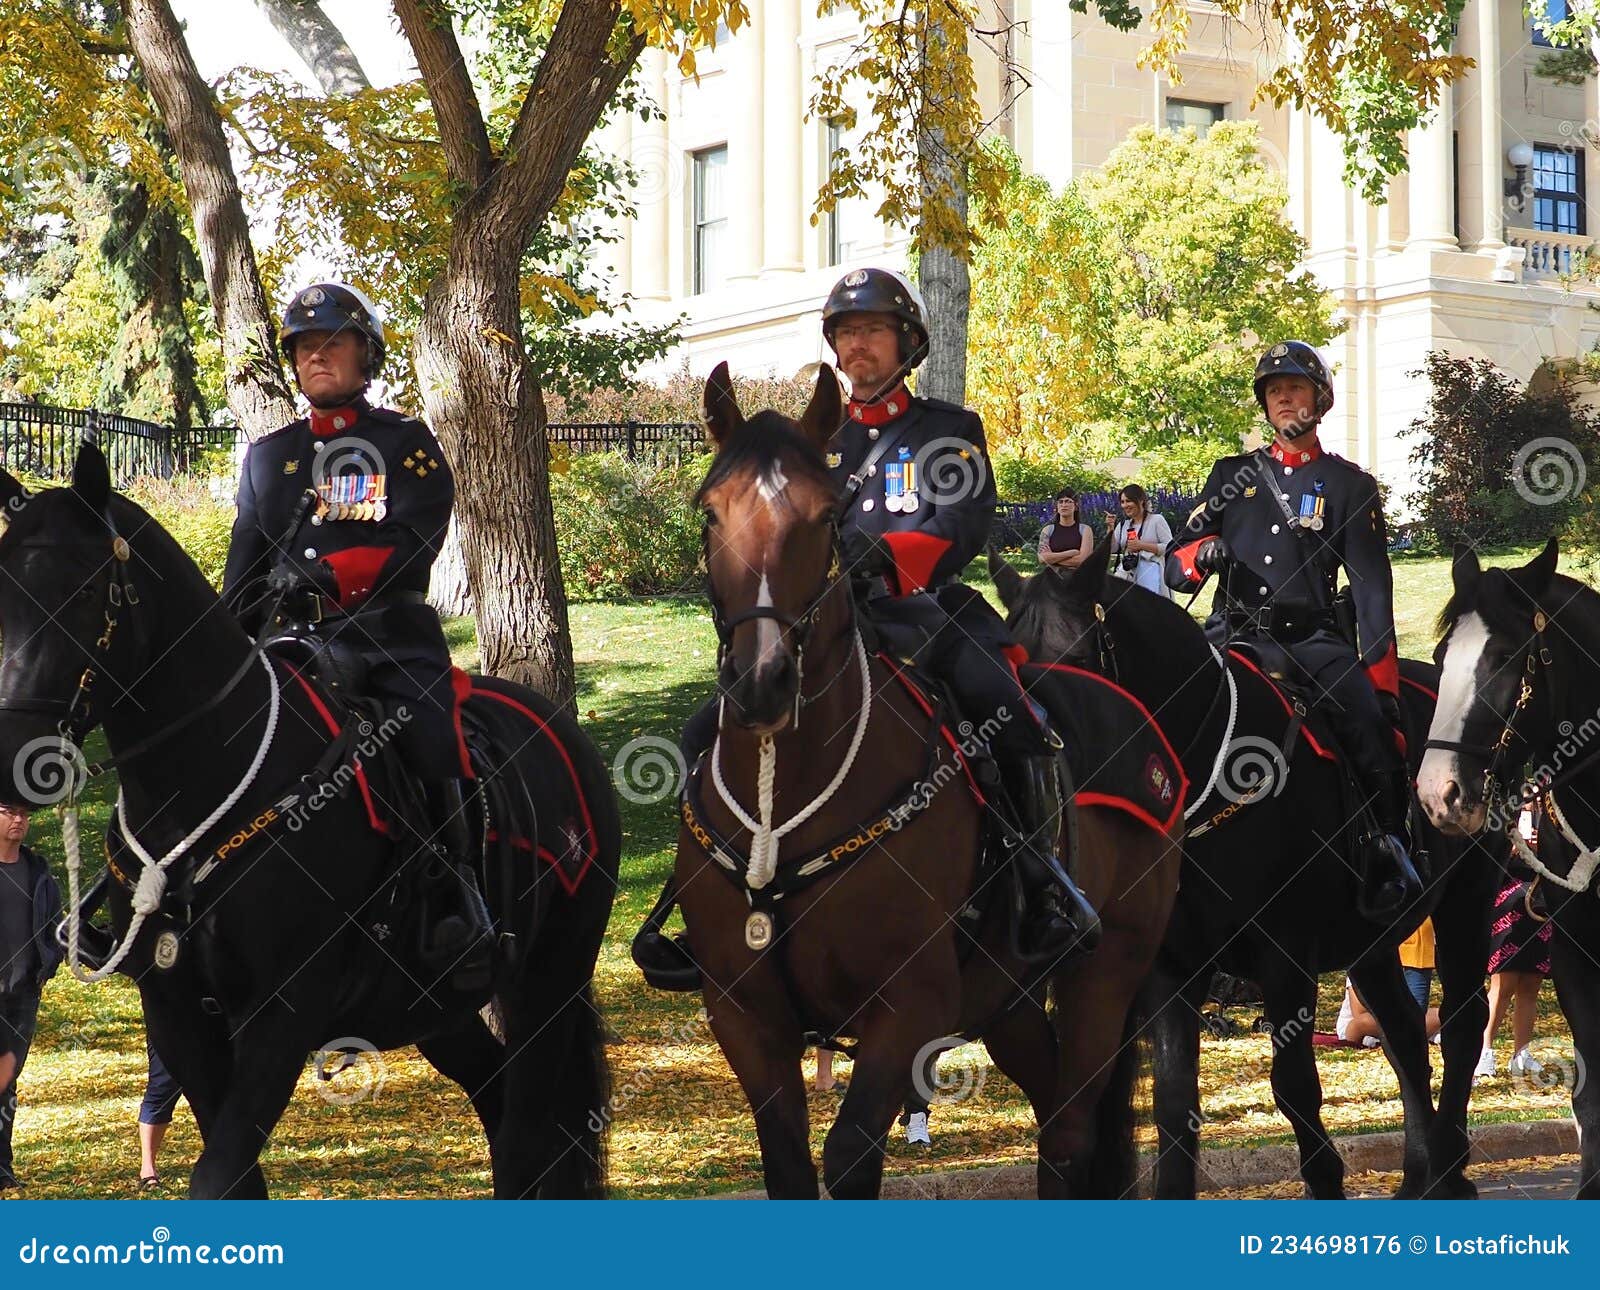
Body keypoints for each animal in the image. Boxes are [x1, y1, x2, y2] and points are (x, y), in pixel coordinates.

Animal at [0, 444, 617, 1203]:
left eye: (86, 591)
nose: (13, 754)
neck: (204, 783)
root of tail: (568, 737)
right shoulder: (176, 1010)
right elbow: (235, 1178)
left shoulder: (282, 1013)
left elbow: (218, 1175)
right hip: (435, 1008)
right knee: (500, 1109)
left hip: (548, 985)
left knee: (529, 1135)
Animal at [668, 366, 1184, 1203]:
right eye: (710, 512)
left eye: (826, 516)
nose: (761, 680)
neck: (787, 803)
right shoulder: (743, 1013)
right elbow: (788, 1164)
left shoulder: (910, 1004)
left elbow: (849, 1156)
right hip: (1006, 998)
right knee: (1052, 1110)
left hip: (1107, 974)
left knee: (1069, 1131)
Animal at [992, 544, 1504, 1203]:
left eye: (1080, 661)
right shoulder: (1172, 968)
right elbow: (1174, 1100)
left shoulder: (1285, 955)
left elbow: (1294, 1085)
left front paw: (1325, 1181)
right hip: (1371, 944)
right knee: (1406, 1035)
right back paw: (1421, 1172)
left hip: (1468, 900)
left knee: (1462, 1027)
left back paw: (1450, 1167)